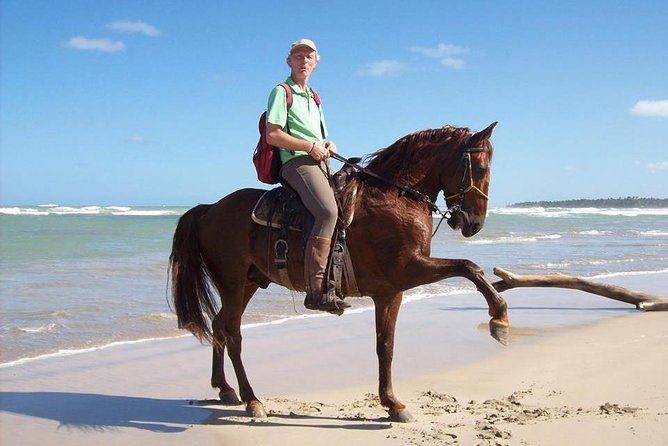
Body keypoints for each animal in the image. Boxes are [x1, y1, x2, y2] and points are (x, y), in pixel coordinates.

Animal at [170, 121, 508, 422]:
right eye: (480, 170)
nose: (474, 223)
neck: (395, 197)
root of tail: (209, 209)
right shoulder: (407, 269)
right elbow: (468, 267)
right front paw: (499, 317)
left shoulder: (391, 291)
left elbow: (385, 346)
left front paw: (392, 403)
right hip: (233, 282)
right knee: (232, 333)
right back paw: (251, 399)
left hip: (248, 283)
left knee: (219, 326)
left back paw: (225, 389)